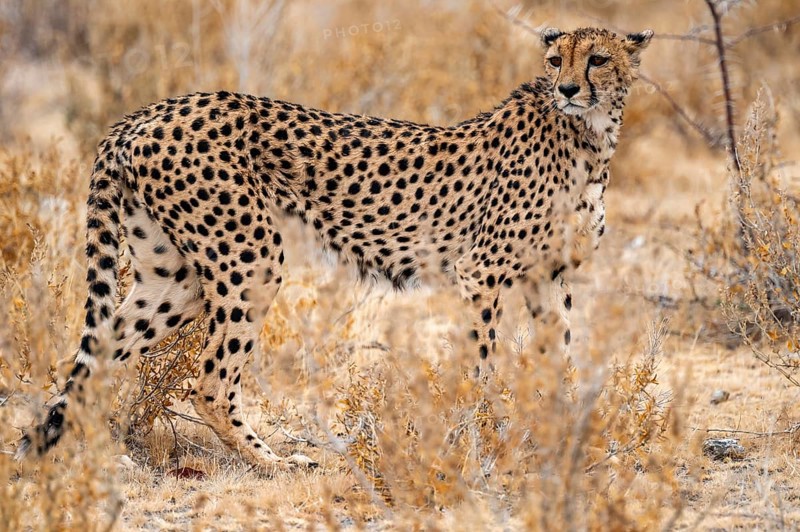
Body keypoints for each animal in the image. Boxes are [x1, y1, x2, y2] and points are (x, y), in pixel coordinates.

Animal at [18, 27, 653, 470]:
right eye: (555, 60)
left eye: (597, 59)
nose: (568, 89)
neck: (589, 136)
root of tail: (146, 112)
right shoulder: (482, 272)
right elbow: (481, 367)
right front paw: (478, 441)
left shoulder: (549, 277)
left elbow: (561, 359)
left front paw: (564, 435)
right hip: (250, 260)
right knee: (211, 382)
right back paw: (275, 462)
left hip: (172, 280)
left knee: (96, 357)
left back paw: (86, 453)